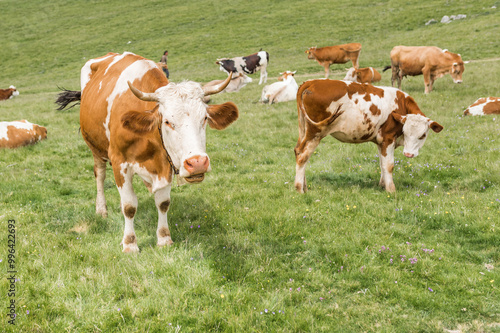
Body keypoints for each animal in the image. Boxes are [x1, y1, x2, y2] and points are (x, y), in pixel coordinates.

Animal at [54, 51, 238, 252]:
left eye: (204, 118)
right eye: (167, 121)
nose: (197, 163)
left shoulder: (166, 163)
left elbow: (163, 203)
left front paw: (164, 238)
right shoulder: (119, 163)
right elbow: (129, 206)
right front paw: (129, 243)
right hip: (96, 149)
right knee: (100, 175)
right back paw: (101, 209)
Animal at [294, 79, 444, 192]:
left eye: (422, 135)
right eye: (406, 132)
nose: (408, 154)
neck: (400, 104)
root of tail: (312, 82)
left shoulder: (381, 142)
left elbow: (382, 164)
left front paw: (383, 185)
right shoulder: (388, 138)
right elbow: (389, 165)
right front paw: (391, 190)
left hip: (304, 130)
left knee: (298, 151)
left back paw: (304, 186)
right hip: (315, 133)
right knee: (303, 156)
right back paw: (299, 189)